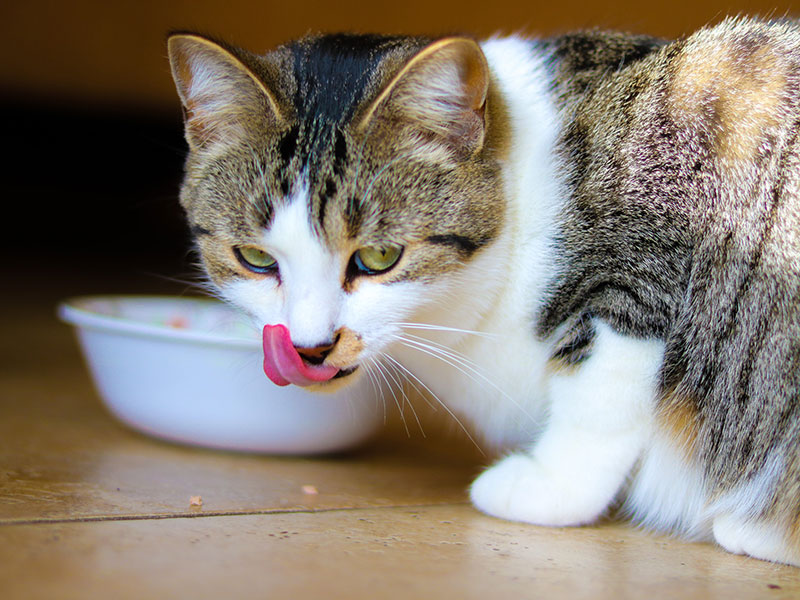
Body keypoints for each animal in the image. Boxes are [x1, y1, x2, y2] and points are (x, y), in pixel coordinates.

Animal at [166, 16, 800, 564]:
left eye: (378, 257)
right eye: (255, 258)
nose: (311, 346)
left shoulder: (646, 253)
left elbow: (598, 396)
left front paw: (549, 487)